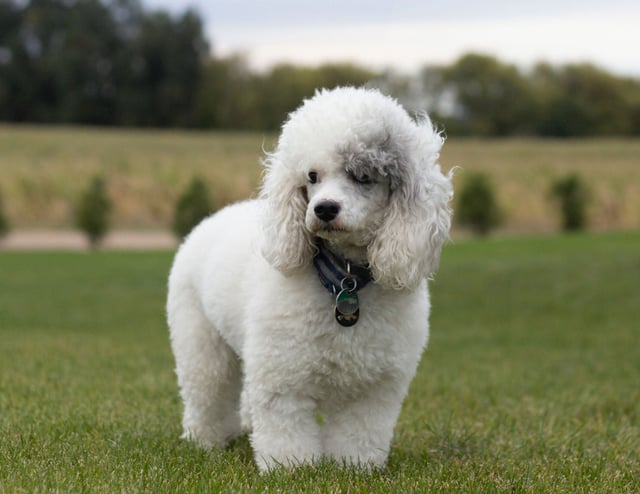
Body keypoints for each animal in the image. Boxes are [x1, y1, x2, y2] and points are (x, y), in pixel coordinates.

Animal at [168, 86, 452, 470]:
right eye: (312, 176)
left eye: (362, 176)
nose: (324, 209)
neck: (344, 281)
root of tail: (210, 220)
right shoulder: (282, 372)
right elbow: (285, 424)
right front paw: (291, 467)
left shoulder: (374, 385)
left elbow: (360, 429)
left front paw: (354, 466)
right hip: (200, 339)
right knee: (207, 390)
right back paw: (206, 441)